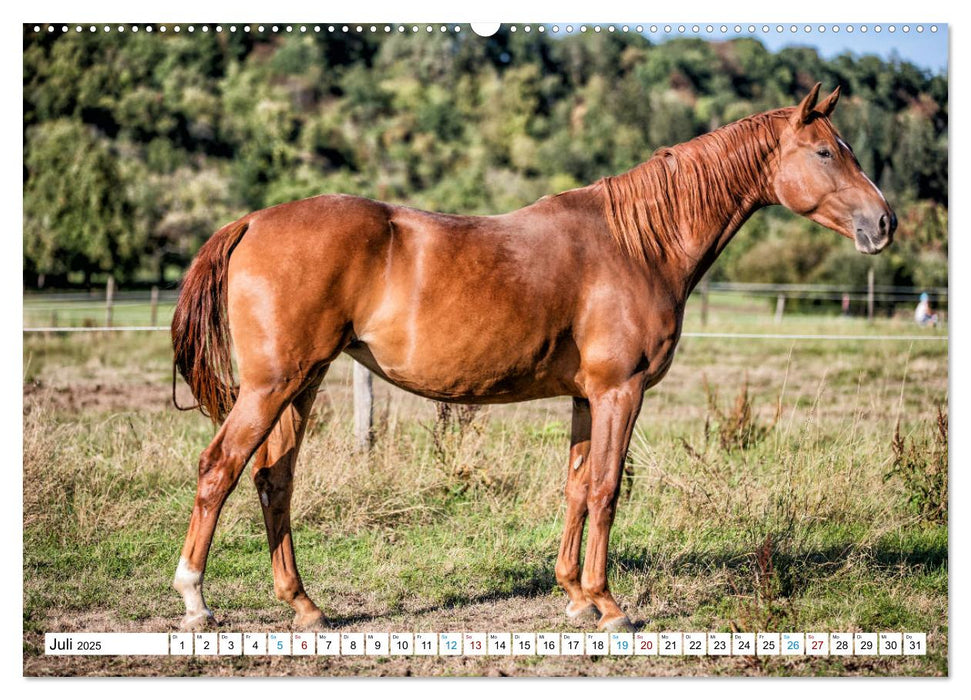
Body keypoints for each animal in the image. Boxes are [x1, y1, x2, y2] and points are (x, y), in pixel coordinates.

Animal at [173, 85, 896, 632]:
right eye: (826, 152)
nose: (884, 223)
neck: (636, 242)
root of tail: (253, 221)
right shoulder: (619, 392)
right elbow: (606, 489)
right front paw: (607, 605)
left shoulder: (585, 397)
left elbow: (576, 486)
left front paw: (573, 595)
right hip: (271, 387)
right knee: (218, 471)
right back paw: (195, 600)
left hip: (302, 385)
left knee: (274, 481)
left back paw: (304, 605)